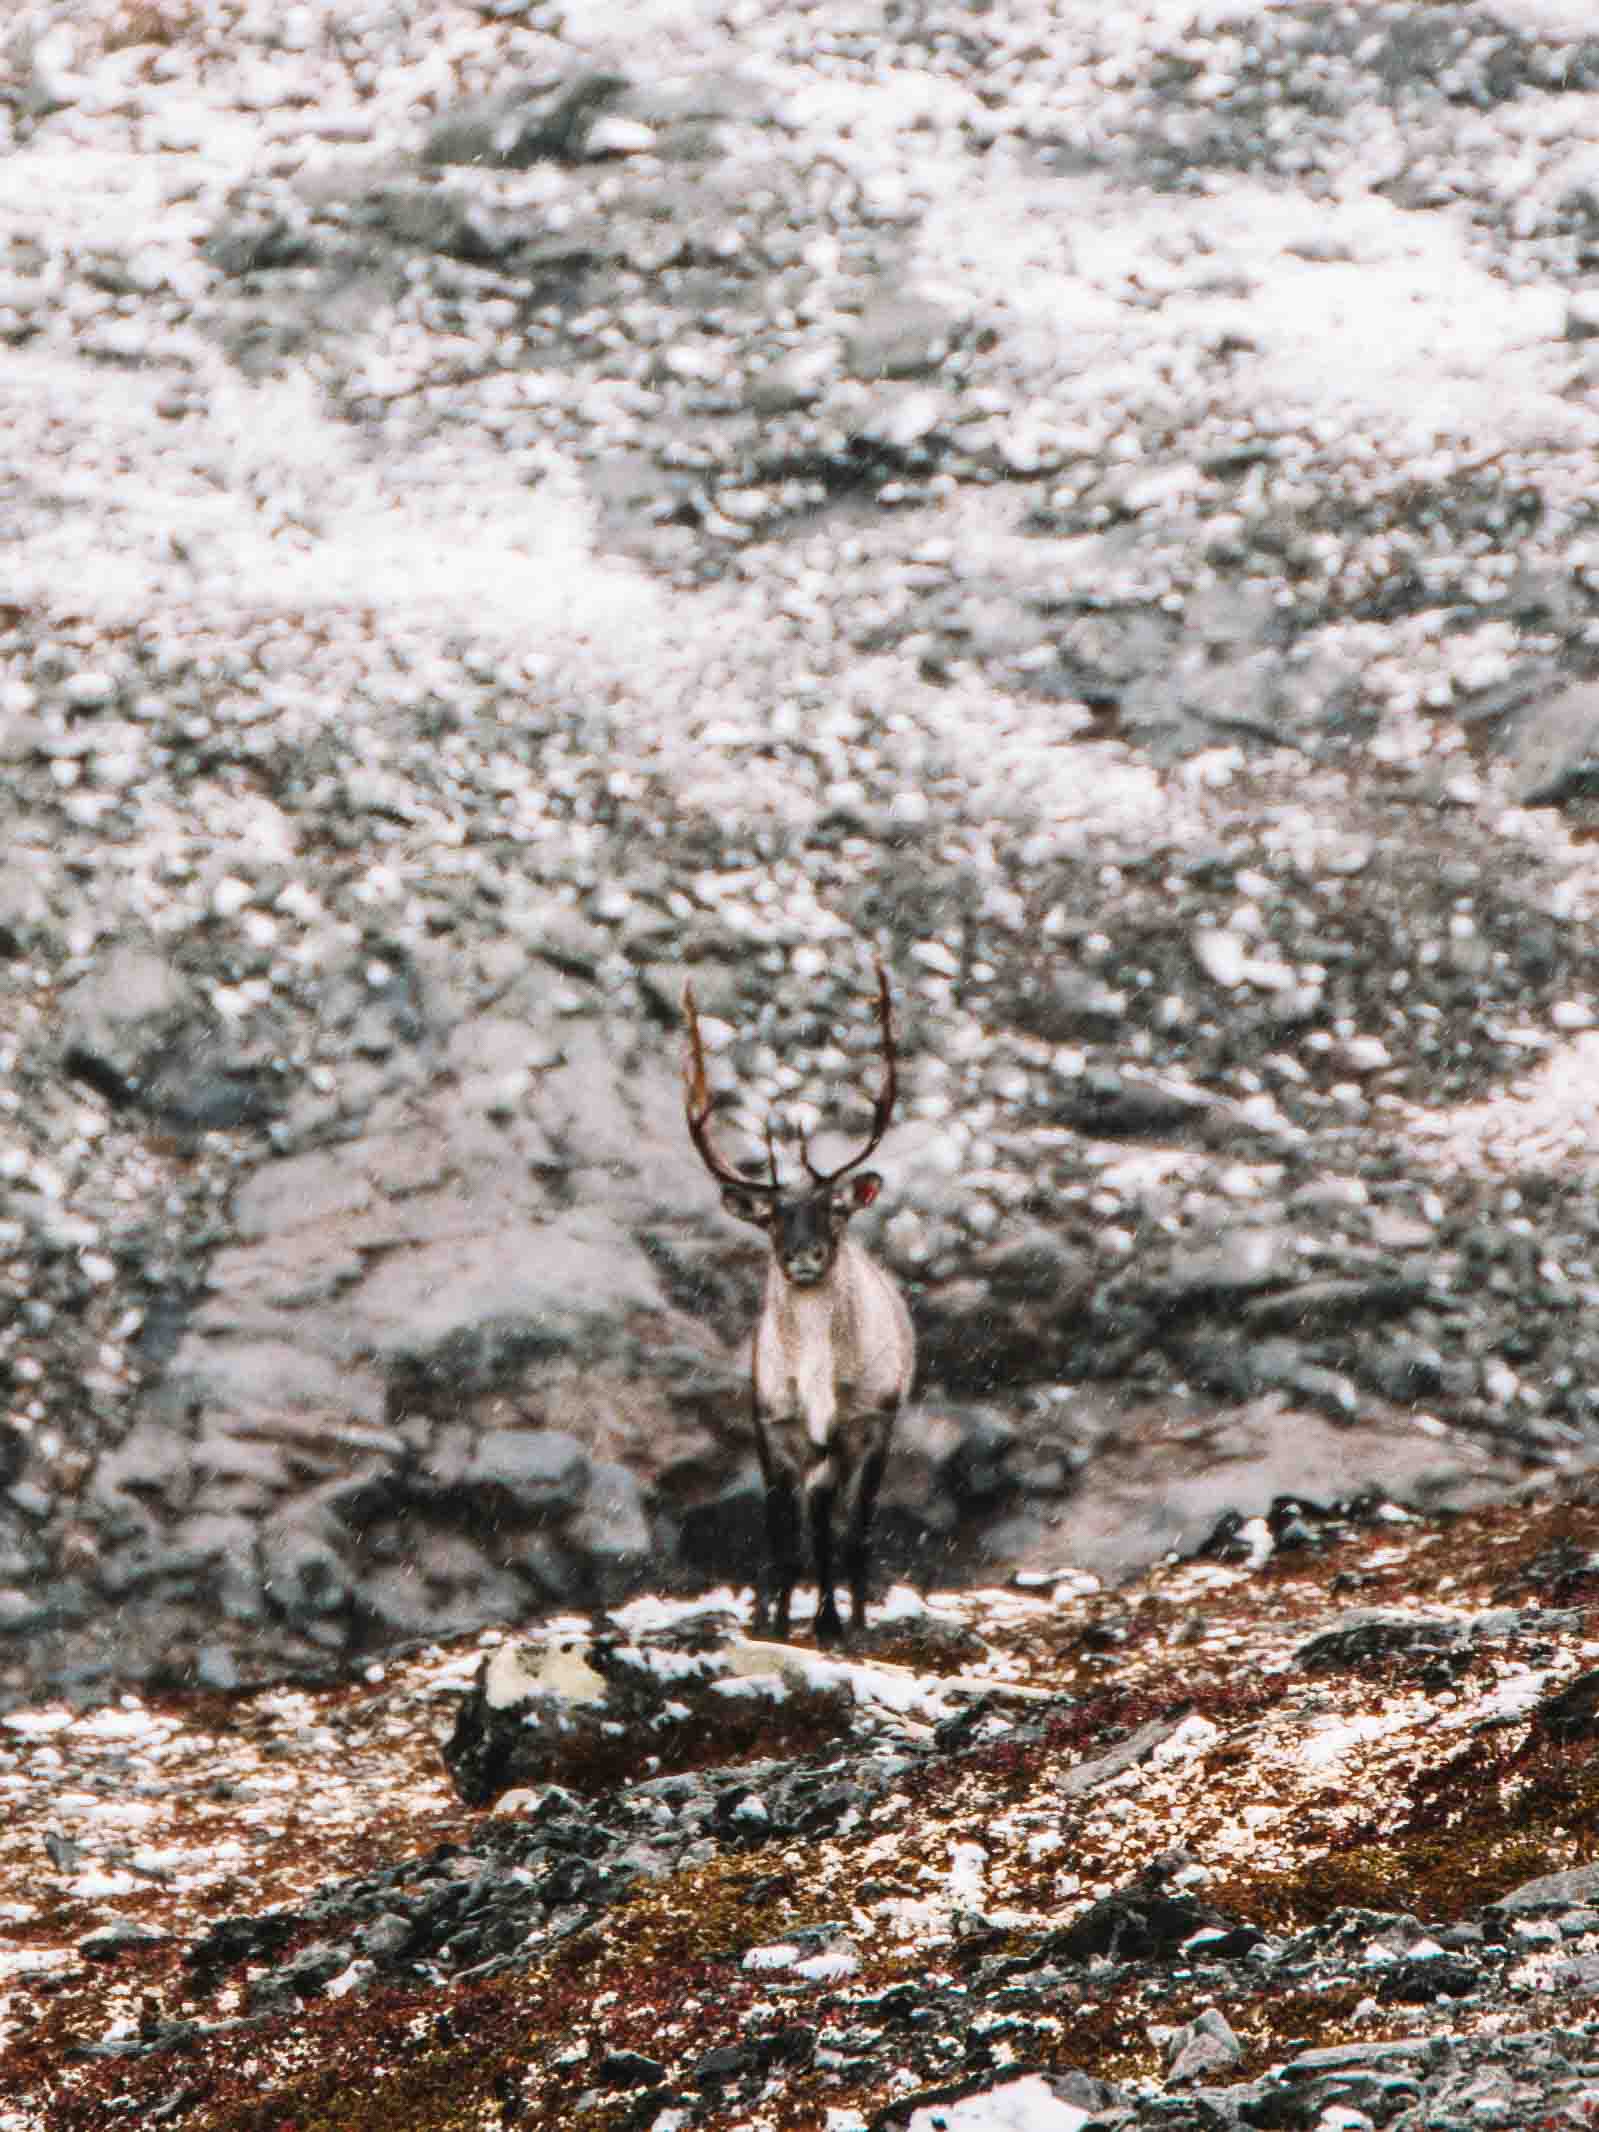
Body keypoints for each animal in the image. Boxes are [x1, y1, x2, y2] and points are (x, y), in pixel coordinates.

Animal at [682, 967, 921, 1645]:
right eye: (770, 1218)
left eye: (835, 1210)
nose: (805, 1257)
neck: (816, 1380)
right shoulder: (772, 1425)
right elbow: (781, 1535)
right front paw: (773, 1619)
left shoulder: (863, 1424)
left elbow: (835, 1532)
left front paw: (834, 1622)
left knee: (851, 1528)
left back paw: (853, 1615)